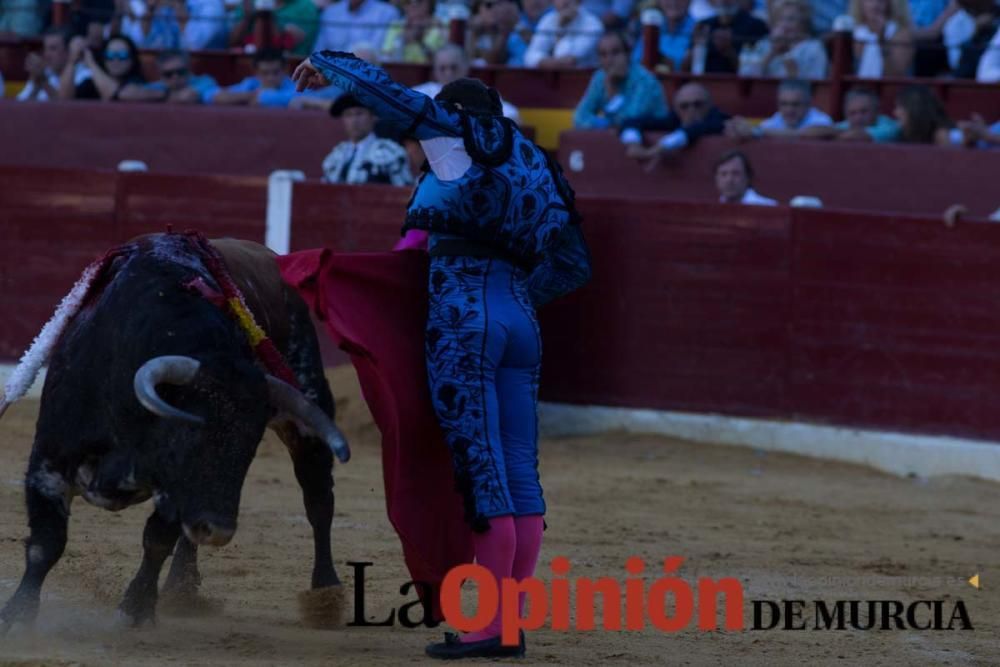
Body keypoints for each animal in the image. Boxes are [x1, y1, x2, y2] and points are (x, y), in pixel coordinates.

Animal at [0, 235, 352, 632]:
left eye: (249, 447)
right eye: (189, 434)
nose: (217, 529)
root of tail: (272, 258)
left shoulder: (175, 488)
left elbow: (156, 540)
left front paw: (135, 609)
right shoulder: (49, 461)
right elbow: (47, 543)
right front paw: (18, 616)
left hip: (307, 416)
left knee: (319, 502)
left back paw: (326, 594)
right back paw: (182, 587)